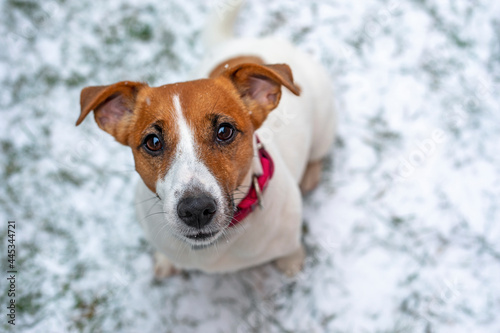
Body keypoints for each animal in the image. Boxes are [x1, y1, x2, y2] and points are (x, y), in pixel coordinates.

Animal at [76, 3, 336, 278]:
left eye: (224, 131)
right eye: (153, 142)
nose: (195, 209)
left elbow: (290, 250)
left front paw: (291, 261)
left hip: (324, 126)